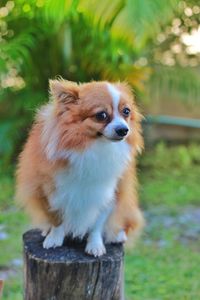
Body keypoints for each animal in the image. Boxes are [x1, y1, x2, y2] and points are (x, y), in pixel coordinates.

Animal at [15, 80, 144, 258]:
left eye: (126, 111)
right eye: (101, 115)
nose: (124, 129)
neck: (93, 147)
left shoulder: (108, 194)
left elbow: (97, 224)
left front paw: (95, 245)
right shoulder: (48, 191)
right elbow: (56, 218)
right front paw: (54, 239)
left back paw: (117, 235)